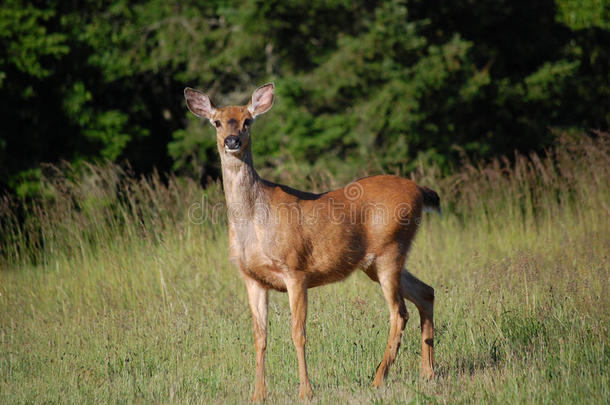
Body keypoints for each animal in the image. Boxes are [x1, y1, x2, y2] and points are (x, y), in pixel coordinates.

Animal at [182, 83, 436, 400]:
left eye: (247, 121)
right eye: (216, 122)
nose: (232, 140)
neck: (253, 221)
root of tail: (420, 190)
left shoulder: (296, 269)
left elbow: (298, 333)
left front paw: (306, 391)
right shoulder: (252, 278)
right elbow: (260, 336)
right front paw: (258, 394)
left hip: (390, 250)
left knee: (399, 313)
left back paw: (378, 380)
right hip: (378, 262)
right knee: (426, 292)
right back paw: (428, 374)